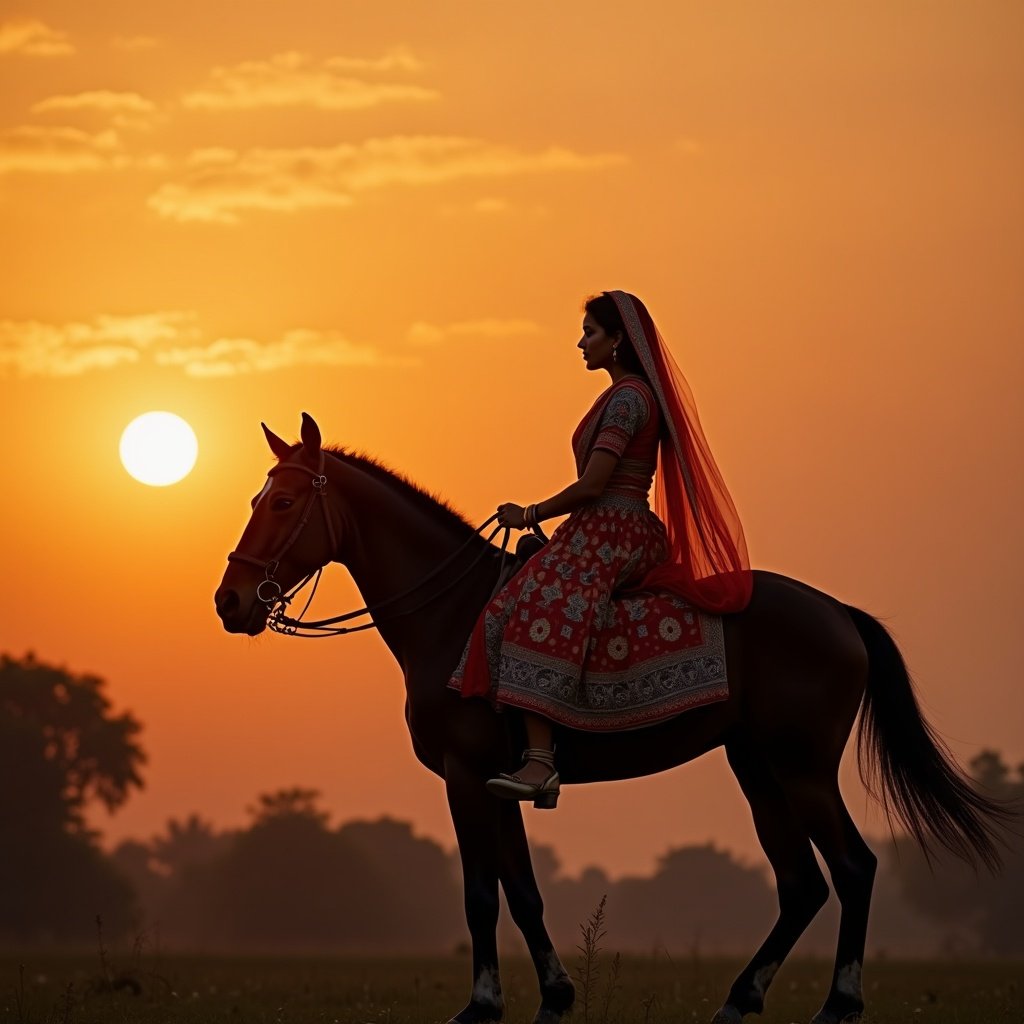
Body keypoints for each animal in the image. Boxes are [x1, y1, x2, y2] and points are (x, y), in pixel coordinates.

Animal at [211, 413, 1003, 1024]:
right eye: (256, 496)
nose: (231, 600)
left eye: (283, 502)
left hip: (801, 768)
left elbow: (480, 895)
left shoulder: (465, 777)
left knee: (853, 867)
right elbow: (523, 893)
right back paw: (737, 1000)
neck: (450, 615)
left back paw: (837, 1003)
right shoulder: (497, 784)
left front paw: (481, 1005)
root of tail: (839, 612)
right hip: (757, 769)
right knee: (803, 883)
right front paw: (554, 997)